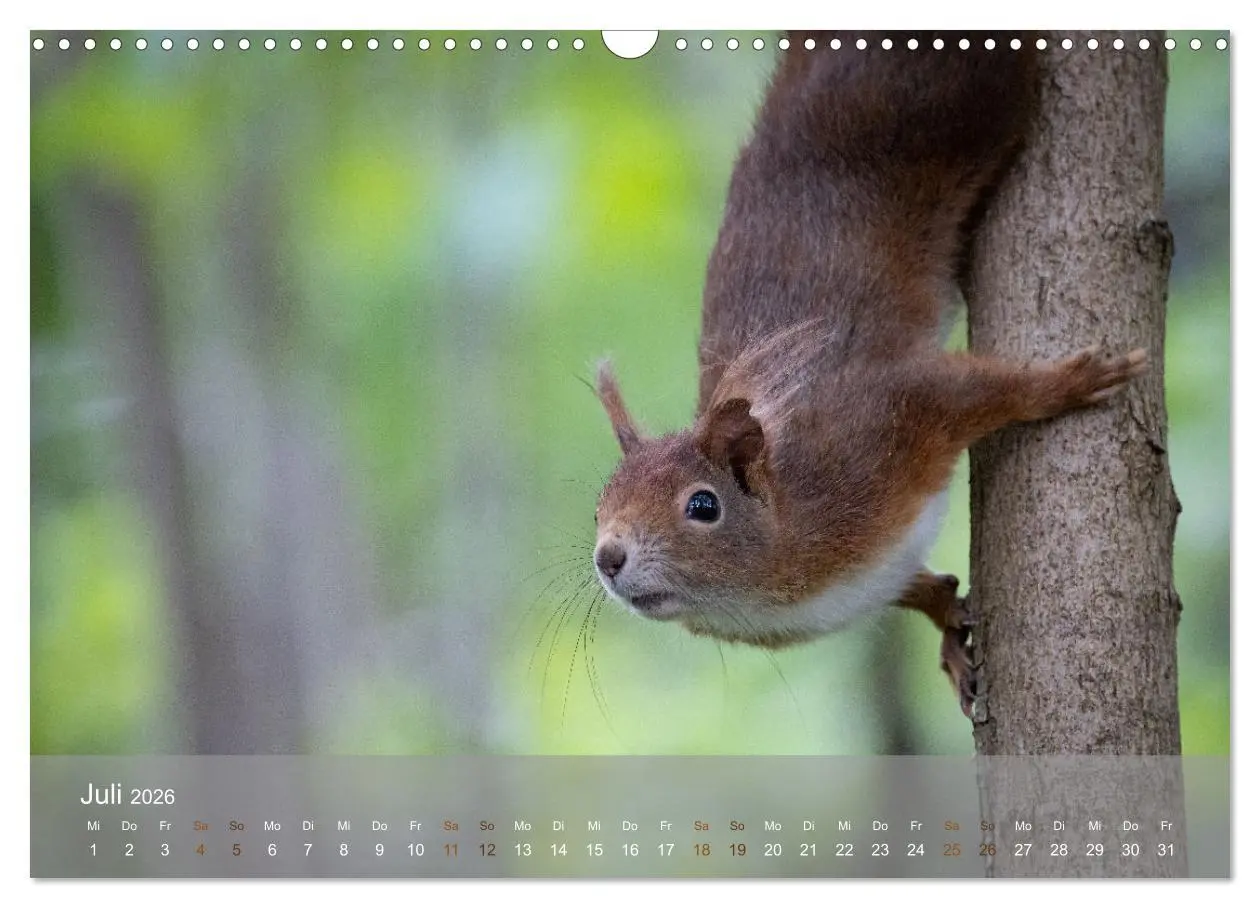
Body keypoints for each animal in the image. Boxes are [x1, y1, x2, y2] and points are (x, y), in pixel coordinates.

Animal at [591, 31, 1148, 717]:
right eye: (600, 505)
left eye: (703, 505)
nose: (608, 557)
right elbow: (923, 587)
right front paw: (948, 627)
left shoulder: (880, 418)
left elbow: (974, 391)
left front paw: (1072, 381)